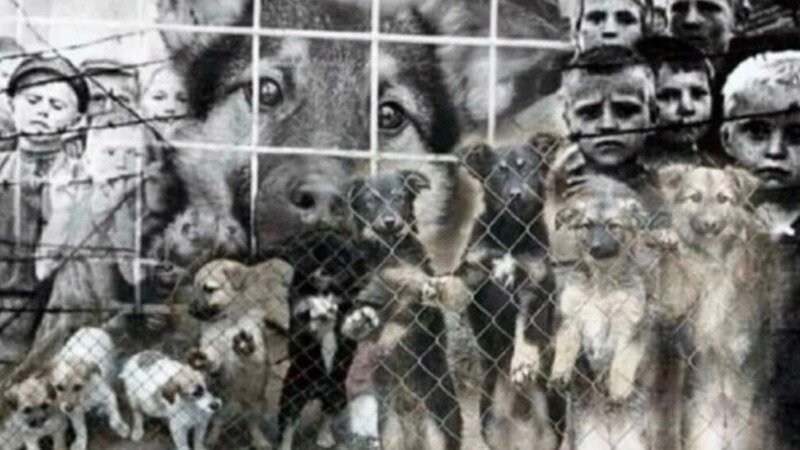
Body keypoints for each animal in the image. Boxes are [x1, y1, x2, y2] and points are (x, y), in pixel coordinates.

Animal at [342, 170, 463, 450]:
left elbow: (414, 287)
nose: (390, 222)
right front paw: (358, 322)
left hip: (439, 429)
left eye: (399, 197)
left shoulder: (418, 301)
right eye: (371, 200)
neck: (388, 251)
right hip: (391, 431)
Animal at [458, 138, 561, 450]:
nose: (517, 195)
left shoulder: (533, 287)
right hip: (490, 420)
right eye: (499, 172)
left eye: (526, 168)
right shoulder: (474, 270)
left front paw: (523, 362)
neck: (510, 234)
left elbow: (526, 328)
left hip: (551, 425)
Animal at [550, 175, 654, 450]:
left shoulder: (630, 325)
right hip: (585, 441)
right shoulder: (570, 316)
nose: (596, 247)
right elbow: (566, 345)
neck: (603, 280)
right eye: (586, 226)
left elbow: (622, 361)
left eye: (613, 226)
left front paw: (618, 389)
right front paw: (559, 373)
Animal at [655, 165, 777, 450]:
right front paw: (668, 239)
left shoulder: (749, 282)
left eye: (723, 199)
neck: (712, 257)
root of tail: (725, 418)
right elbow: (673, 280)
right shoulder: (678, 299)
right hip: (700, 435)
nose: (710, 224)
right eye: (695, 197)